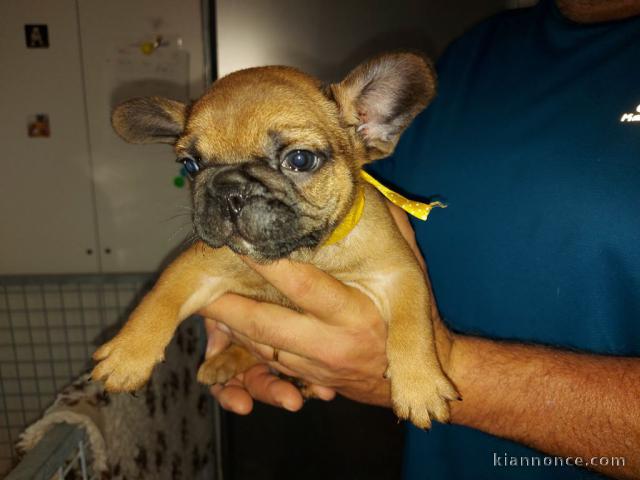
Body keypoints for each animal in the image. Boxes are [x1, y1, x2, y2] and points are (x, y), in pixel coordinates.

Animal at [92, 52, 458, 428]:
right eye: (190, 165)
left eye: (300, 159)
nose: (228, 189)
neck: (304, 252)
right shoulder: (197, 268)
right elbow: (159, 299)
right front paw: (127, 355)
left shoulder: (398, 274)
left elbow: (413, 325)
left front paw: (420, 385)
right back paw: (224, 361)